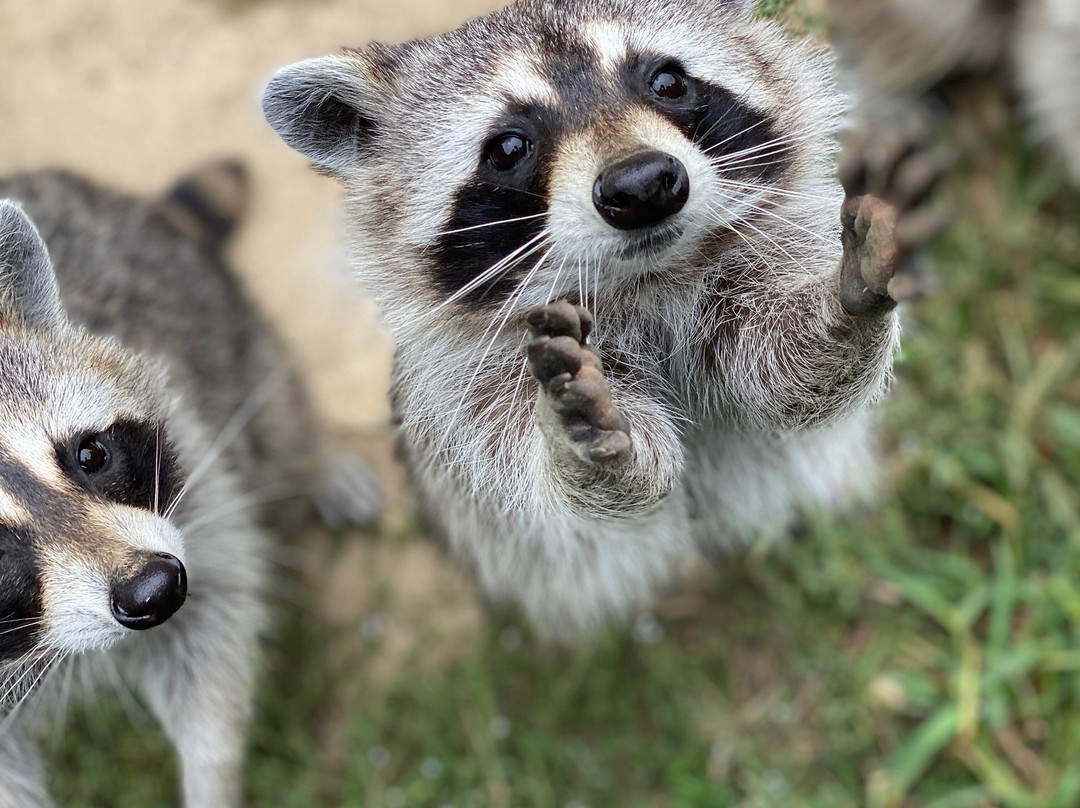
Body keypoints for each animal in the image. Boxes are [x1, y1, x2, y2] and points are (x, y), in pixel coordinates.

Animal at [0, 165, 375, 808]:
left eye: (92, 454)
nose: (154, 589)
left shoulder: (196, 475)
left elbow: (215, 619)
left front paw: (211, 774)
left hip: (212, 310)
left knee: (276, 416)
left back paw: (320, 462)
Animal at [263, 0, 946, 639]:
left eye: (667, 82)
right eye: (508, 146)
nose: (642, 185)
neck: (644, 280)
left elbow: (786, 376)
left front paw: (845, 298)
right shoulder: (476, 383)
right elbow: (568, 480)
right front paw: (584, 447)